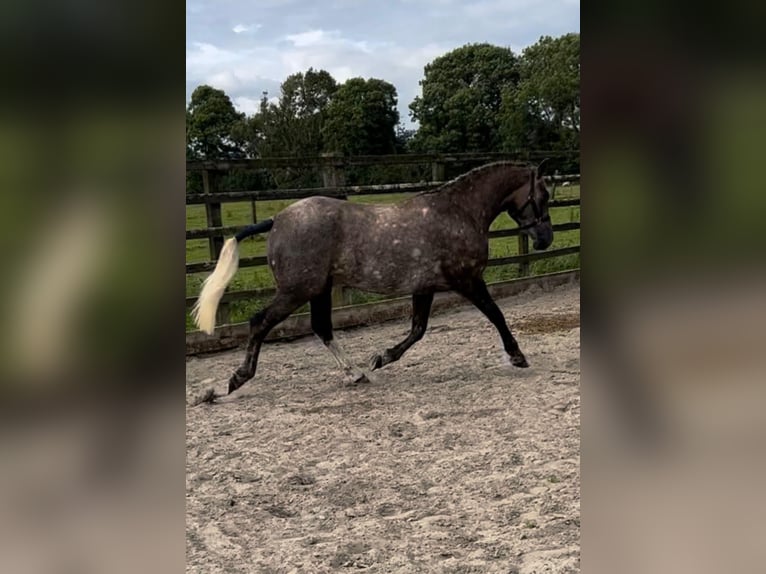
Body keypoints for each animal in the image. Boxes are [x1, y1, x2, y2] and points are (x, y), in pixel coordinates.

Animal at [191, 161, 552, 404]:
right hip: (296, 290)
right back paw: (235, 381)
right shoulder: (467, 280)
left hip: (318, 289)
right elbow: (496, 315)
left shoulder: (424, 287)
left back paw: (356, 373)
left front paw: (380, 358)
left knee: (321, 327)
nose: (545, 239)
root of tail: (276, 219)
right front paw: (517, 356)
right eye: (543, 196)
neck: (458, 213)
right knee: (260, 322)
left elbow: (418, 330)